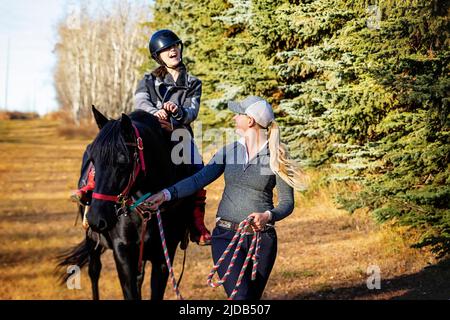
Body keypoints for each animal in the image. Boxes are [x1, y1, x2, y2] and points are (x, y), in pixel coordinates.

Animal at [57, 107, 193, 300]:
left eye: (122, 161)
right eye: (93, 160)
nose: (96, 218)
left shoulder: (164, 256)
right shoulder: (122, 253)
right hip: (92, 239)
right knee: (94, 271)